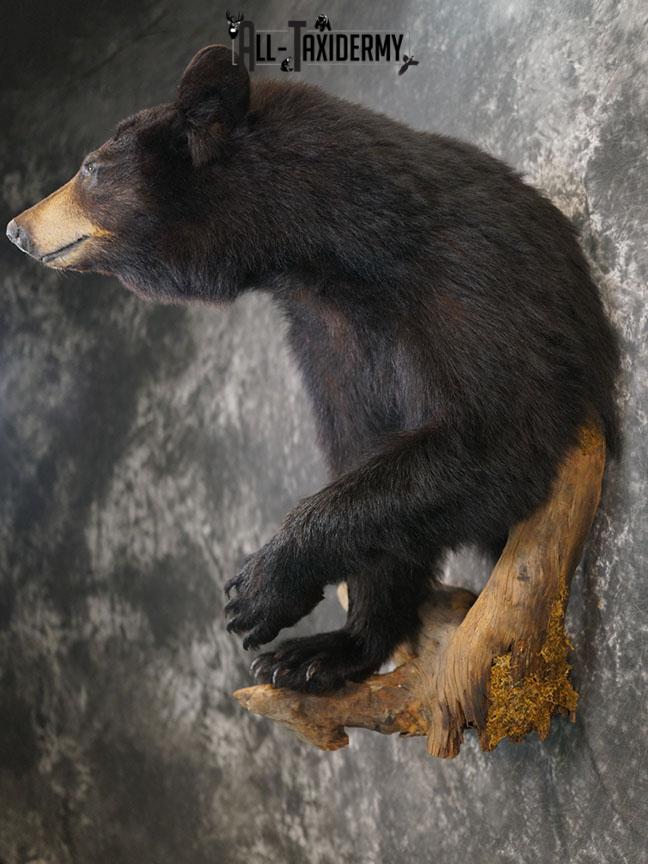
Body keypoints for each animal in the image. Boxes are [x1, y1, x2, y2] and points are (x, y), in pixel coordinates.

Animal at [6, 45, 619, 693]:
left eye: (90, 168)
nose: (17, 228)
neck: (338, 253)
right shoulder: (327, 336)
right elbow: (364, 452)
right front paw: (326, 648)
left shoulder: (471, 281)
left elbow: (490, 438)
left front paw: (260, 589)